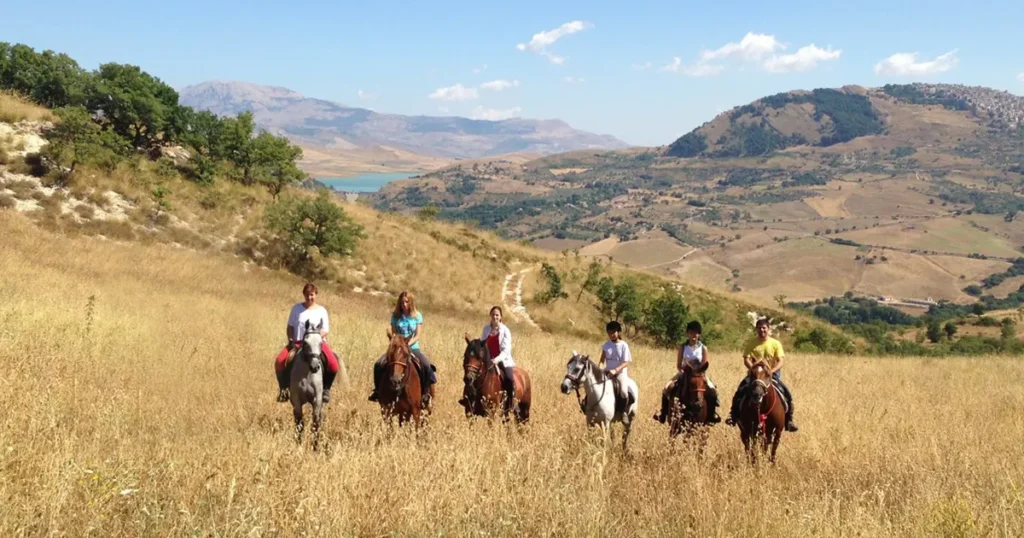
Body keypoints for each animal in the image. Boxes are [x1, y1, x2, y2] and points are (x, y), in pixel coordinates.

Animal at [290, 319, 325, 448]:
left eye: (321, 343)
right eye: (305, 343)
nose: (315, 367)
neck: (307, 374)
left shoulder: (317, 399)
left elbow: (315, 423)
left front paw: (315, 447)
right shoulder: (296, 400)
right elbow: (299, 423)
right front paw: (298, 444)